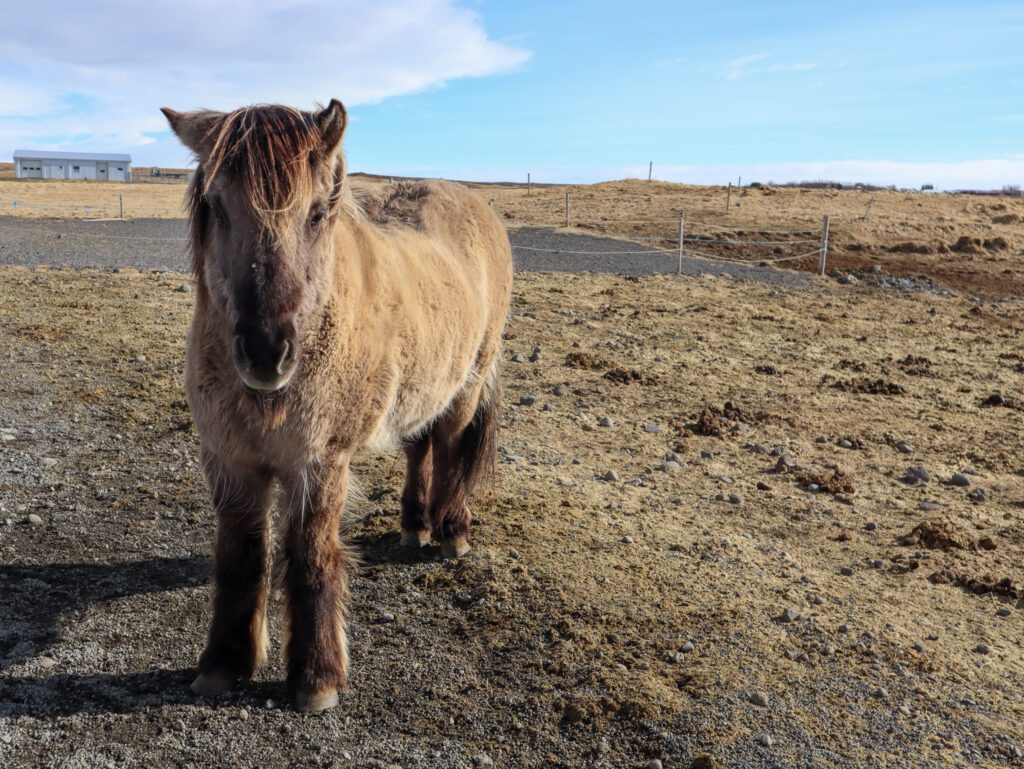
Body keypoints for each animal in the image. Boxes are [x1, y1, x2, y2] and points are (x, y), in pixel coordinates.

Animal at [161, 99, 512, 712]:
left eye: (319, 210)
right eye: (215, 205)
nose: (265, 351)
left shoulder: (319, 464)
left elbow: (310, 557)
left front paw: (316, 679)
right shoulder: (229, 461)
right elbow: (240, 557)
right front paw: (224, 664)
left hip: (467, 385)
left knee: (449, 453)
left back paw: (450, 531)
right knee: (420, 449)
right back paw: (414, 525)